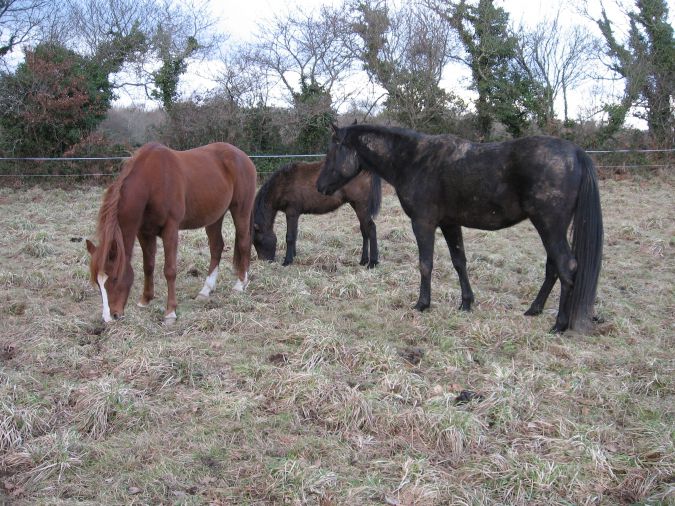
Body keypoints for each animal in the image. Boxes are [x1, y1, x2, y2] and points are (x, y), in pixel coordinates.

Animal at [86, 142, 257, 324]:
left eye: (115, 278)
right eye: (98, 282)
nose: (109, 317)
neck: (151, 182)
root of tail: (243, 156)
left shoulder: (171, 229)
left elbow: (169, 270)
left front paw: (170, 313)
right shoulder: (144, 232)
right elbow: (148, 265)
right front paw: (145, 300)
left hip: (241, 210)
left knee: (244, 242)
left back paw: (240, 284)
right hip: (214, 217)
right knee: (216, 247)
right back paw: (205, 290)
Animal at [253, 160, 381, 268]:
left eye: (258, 241)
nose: (265, 261)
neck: (283, 183)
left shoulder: (291, 213)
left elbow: (289, 237)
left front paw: (287, 261)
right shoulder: (295, 215)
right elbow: (295, 235)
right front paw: (293, 255)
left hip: (361, 206)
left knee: (371, 228)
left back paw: (373, 262)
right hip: (356, 205)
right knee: (364, 231)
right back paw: (363, 260)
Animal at [317, 123, 603, 333]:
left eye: (331, 153)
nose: (320, 186)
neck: (414, 160)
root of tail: (576, 154)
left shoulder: (423, 223)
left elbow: (425, 264)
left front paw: (423, 303)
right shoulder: (450, 223)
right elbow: (459, 262)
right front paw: (466, 302)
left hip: (549, 226)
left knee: (566, 266)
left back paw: (560, 324)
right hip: (550, 228)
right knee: (553, 267)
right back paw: (534, 309)